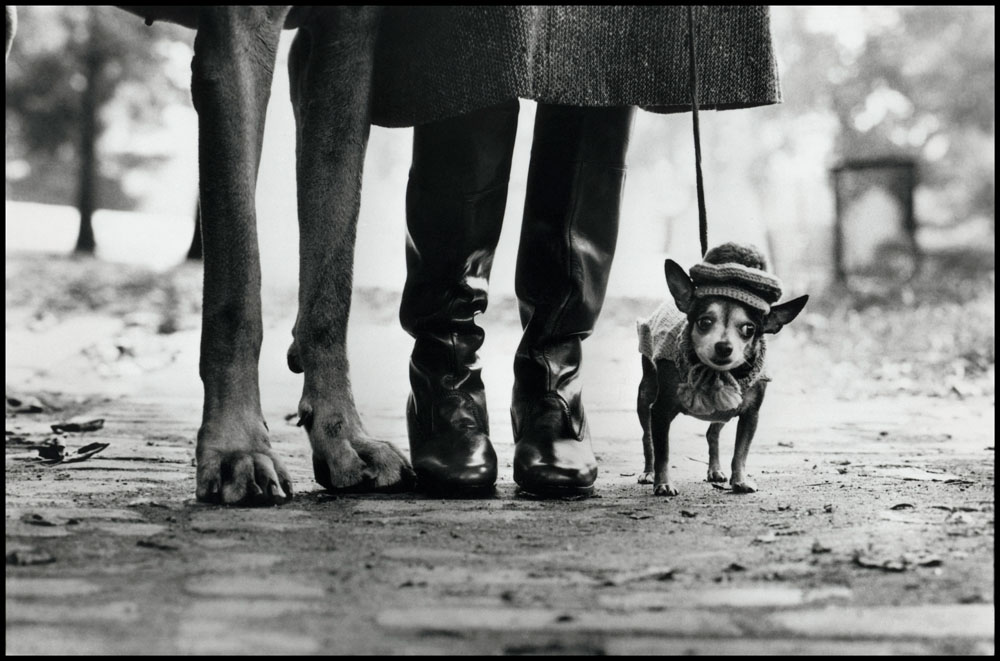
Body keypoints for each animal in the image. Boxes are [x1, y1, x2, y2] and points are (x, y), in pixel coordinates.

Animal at [636, 242, 808, 496]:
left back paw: (715, 470)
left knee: (712, 434)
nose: (724, 347)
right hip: (645, 395)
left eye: (749, 329)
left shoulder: (750, 415)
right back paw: (648, 472)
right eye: (704, 322)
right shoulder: (660, 411)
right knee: (647, 437)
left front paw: (740, 480)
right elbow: (663, 452)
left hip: (723, 412)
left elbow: (740, 453)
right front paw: (664, 483)